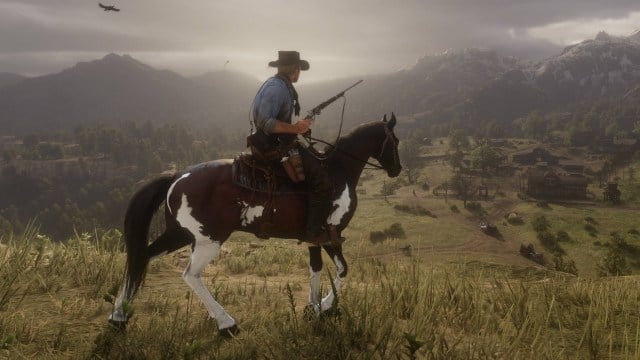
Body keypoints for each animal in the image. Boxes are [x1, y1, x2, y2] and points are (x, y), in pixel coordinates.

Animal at [109, 113, 400, 334]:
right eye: (395, 141)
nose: (396, 170)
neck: (337, 171)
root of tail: (178, 176)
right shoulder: (332, 233)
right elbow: (342, 270)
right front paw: (325, 307)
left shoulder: (314, 237)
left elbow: (315, 269)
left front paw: (312, 307)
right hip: (208, 240)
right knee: (190, 275)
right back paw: (227, 323)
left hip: (179, 233)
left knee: (141, 256)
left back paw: (118, 317)